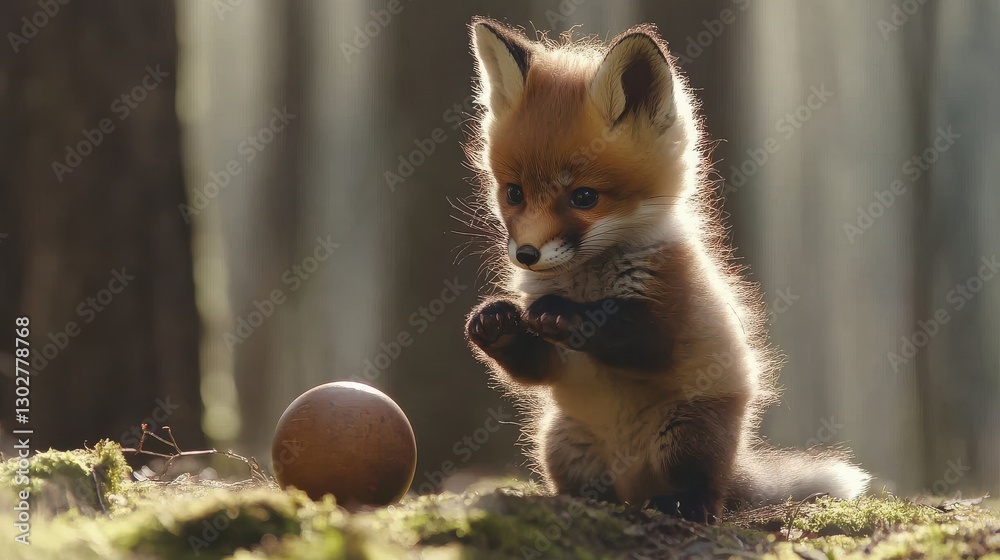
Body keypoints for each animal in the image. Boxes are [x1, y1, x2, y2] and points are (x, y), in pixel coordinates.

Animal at [461, 17, 871, 523]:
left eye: (584, 197)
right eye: (514, 193)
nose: (527, 254)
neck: (587, 278)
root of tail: (632, 483)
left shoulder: (669, 303)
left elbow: (632, 334)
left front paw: (566, 314)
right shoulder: (555, 359)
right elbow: (532, 367)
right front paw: (495, 322)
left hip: (686, 433)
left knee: (707, 494)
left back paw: (681, 504)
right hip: (562, 439)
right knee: (593, 489)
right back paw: (581, 501)